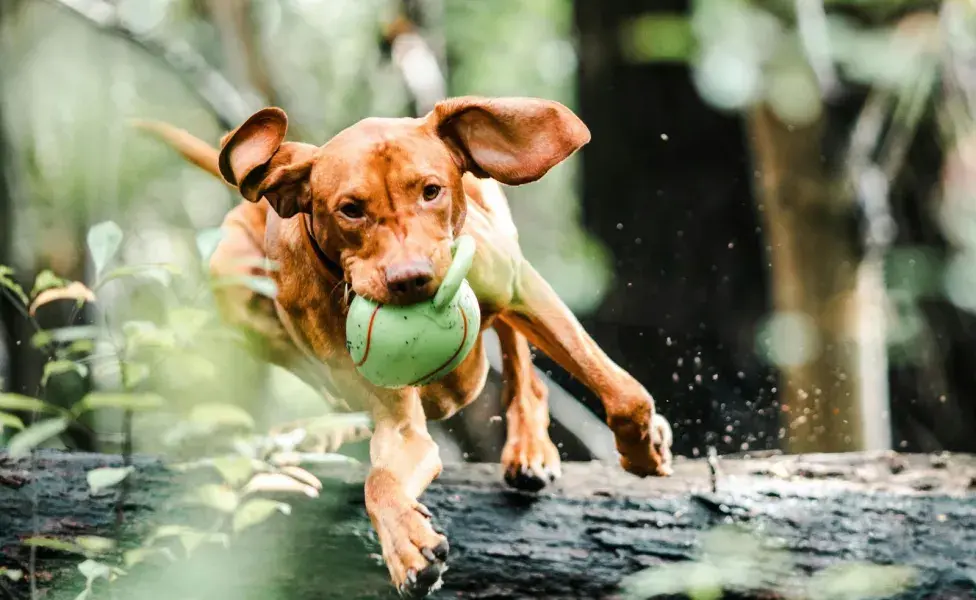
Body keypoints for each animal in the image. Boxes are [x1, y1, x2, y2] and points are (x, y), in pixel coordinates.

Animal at [137, 96, 672, 596]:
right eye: (351, 209)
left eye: (431, 191)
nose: (412, 278)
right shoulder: (397, 420)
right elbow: (381, 477)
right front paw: (406, 545)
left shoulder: (521, 288)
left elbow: (623, 393)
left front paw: (643, 449)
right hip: (234, 281)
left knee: (520, 360)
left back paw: (530, 447)